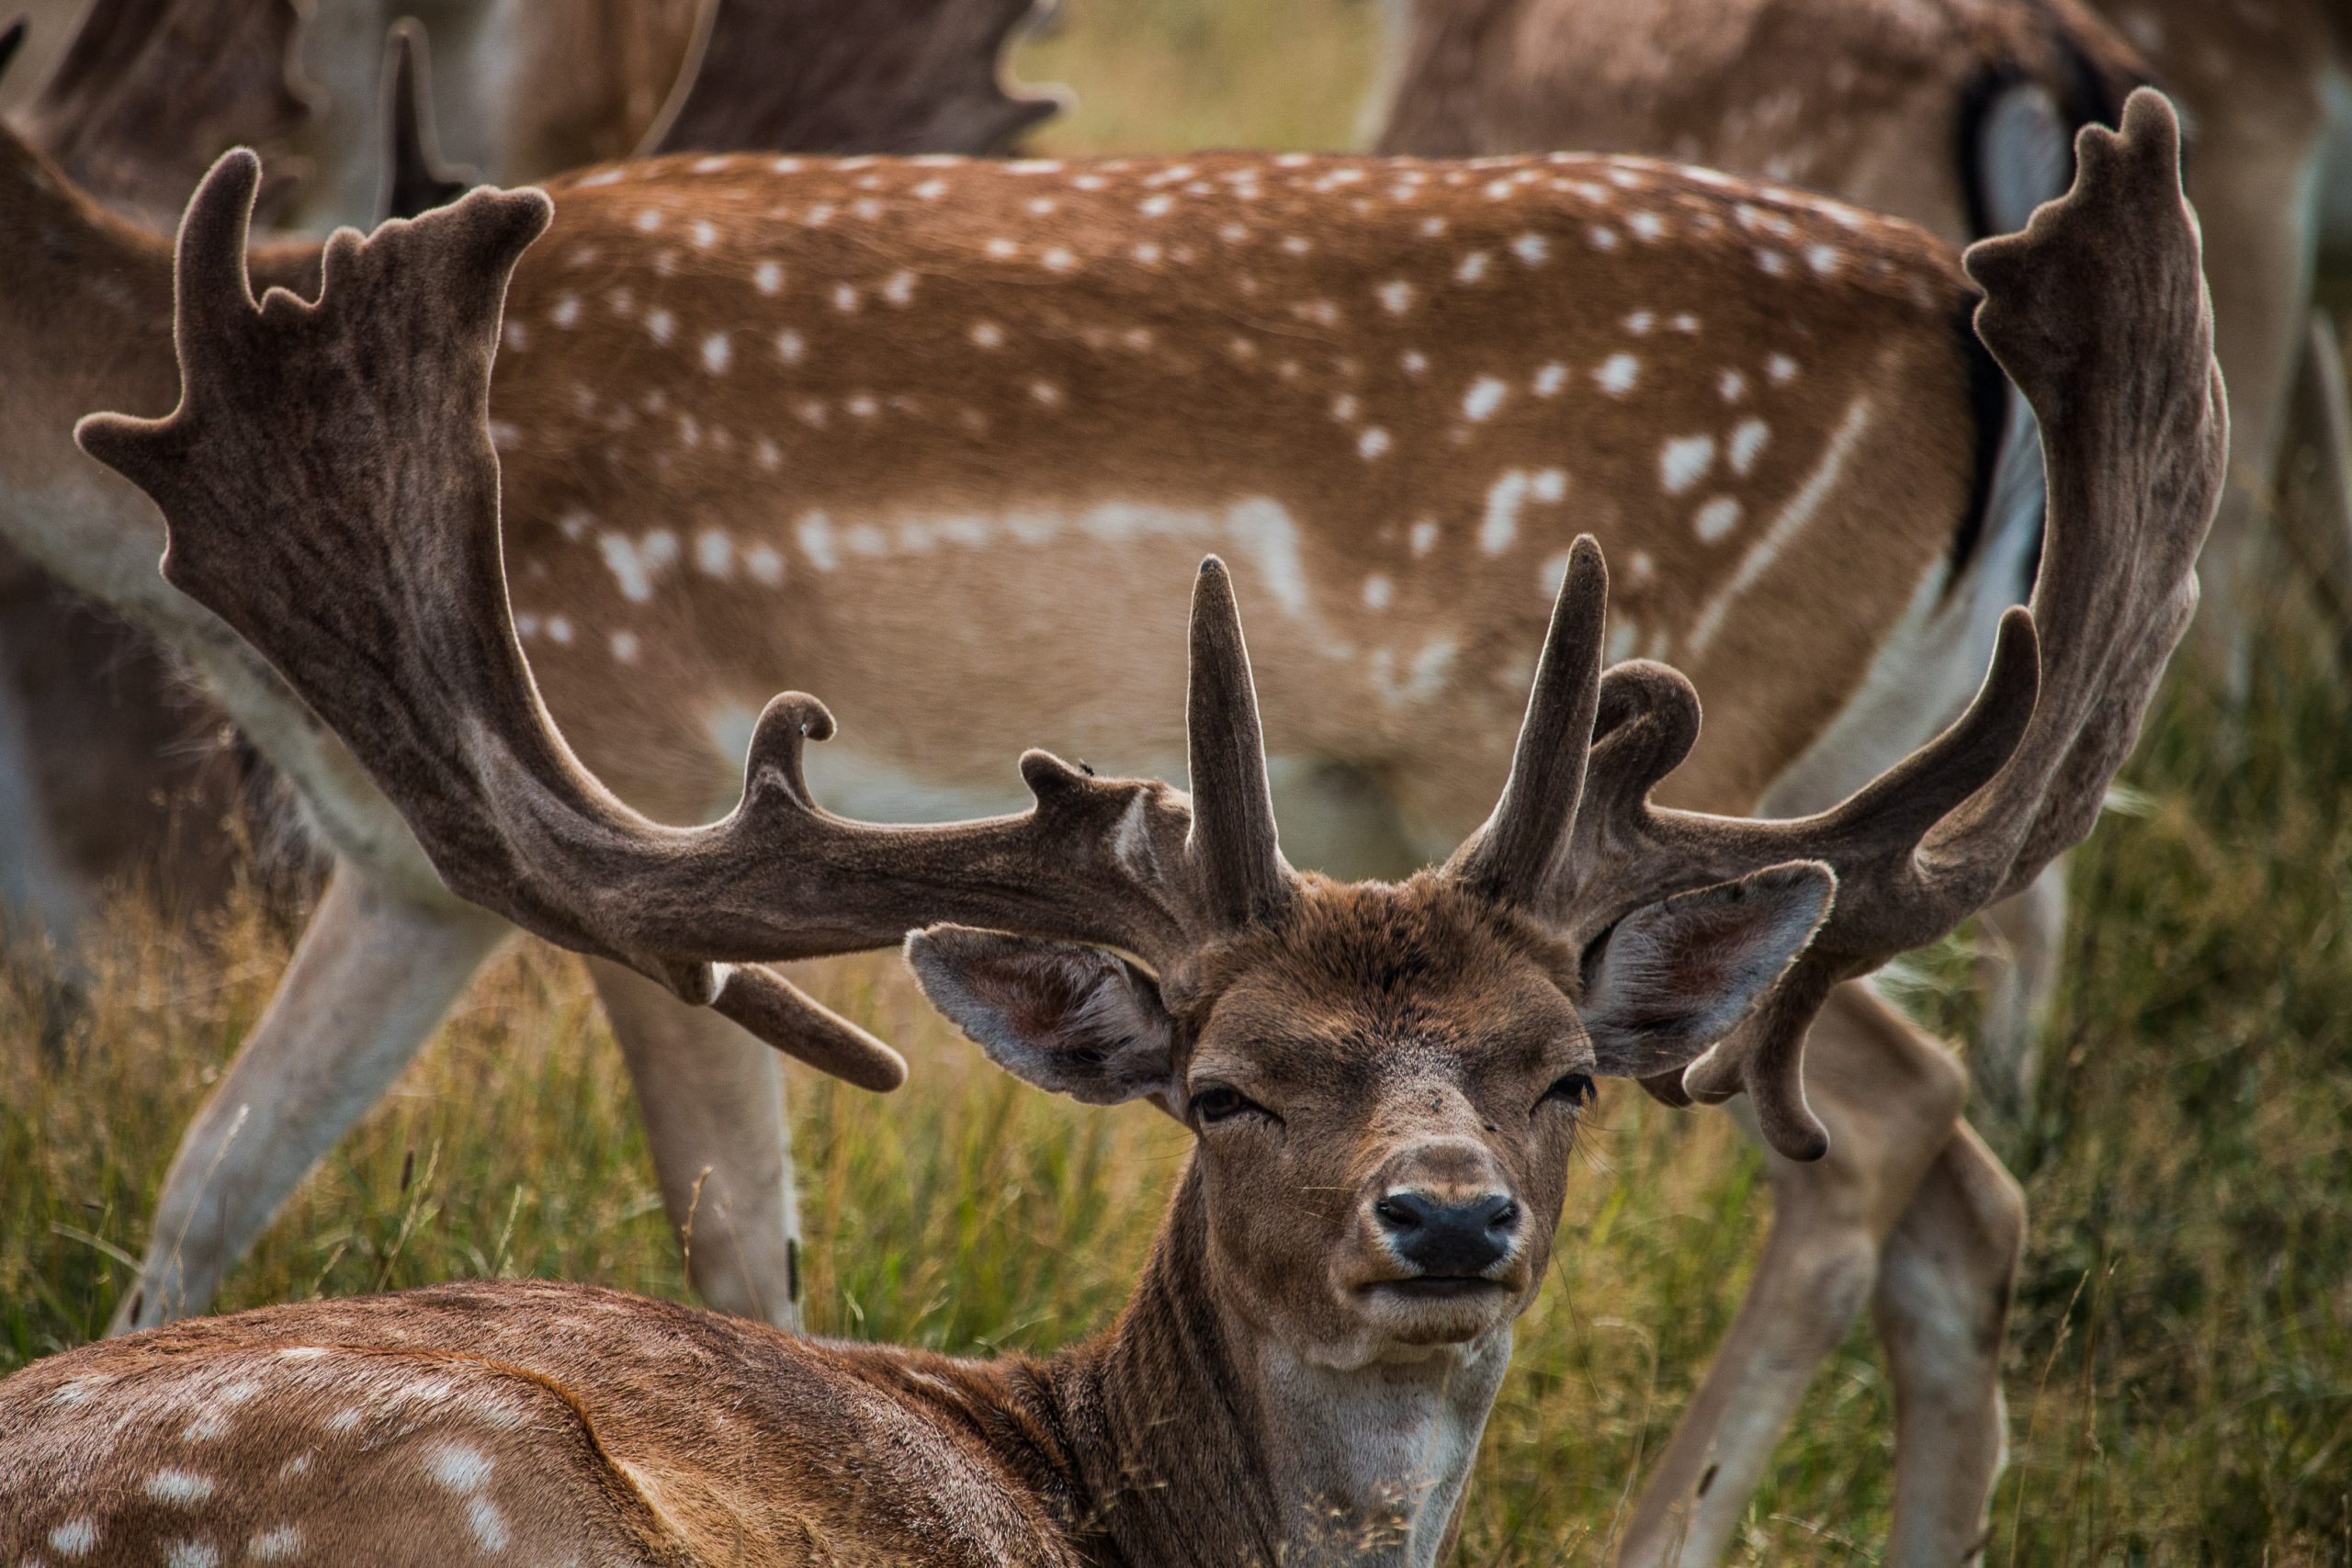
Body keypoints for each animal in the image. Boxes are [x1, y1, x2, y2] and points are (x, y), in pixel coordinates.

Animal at [0, 95, 2220, 1561]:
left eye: (1562, 1076)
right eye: (1219, 1091)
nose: (1445, 1218)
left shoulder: (621, 736)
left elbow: (734, 1241)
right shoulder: (412, 883)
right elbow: (208, 1183)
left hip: (1664, 724)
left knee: (1891, 1107)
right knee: (1948, 1148)